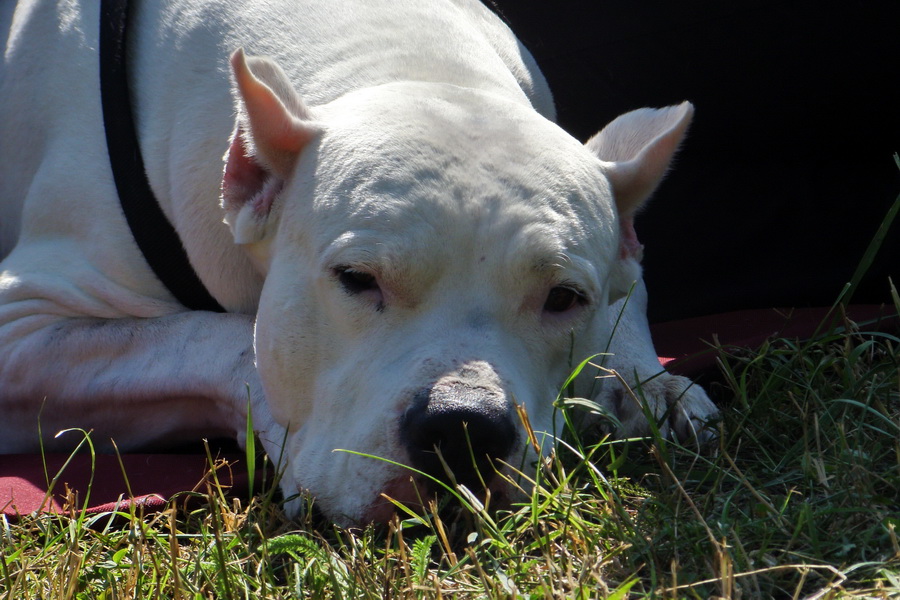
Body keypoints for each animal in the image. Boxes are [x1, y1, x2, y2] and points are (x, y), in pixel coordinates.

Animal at [0, 0, 716, 524]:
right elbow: (221, 340)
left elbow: (631, 296)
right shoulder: (24, 330)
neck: (412, 65)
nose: (463, 425)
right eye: (355, 280)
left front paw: (649, 385)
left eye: (563, 298)